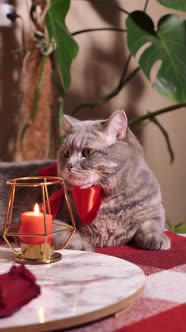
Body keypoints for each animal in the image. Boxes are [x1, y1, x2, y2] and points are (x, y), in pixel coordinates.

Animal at [0, 110, 170, 250]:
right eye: (66, 153)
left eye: (88, 152)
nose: (69, 165)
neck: (104, 199)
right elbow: (64, 231)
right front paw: (83, 245)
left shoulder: (155, 210)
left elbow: (151, 225)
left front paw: (158, 239)